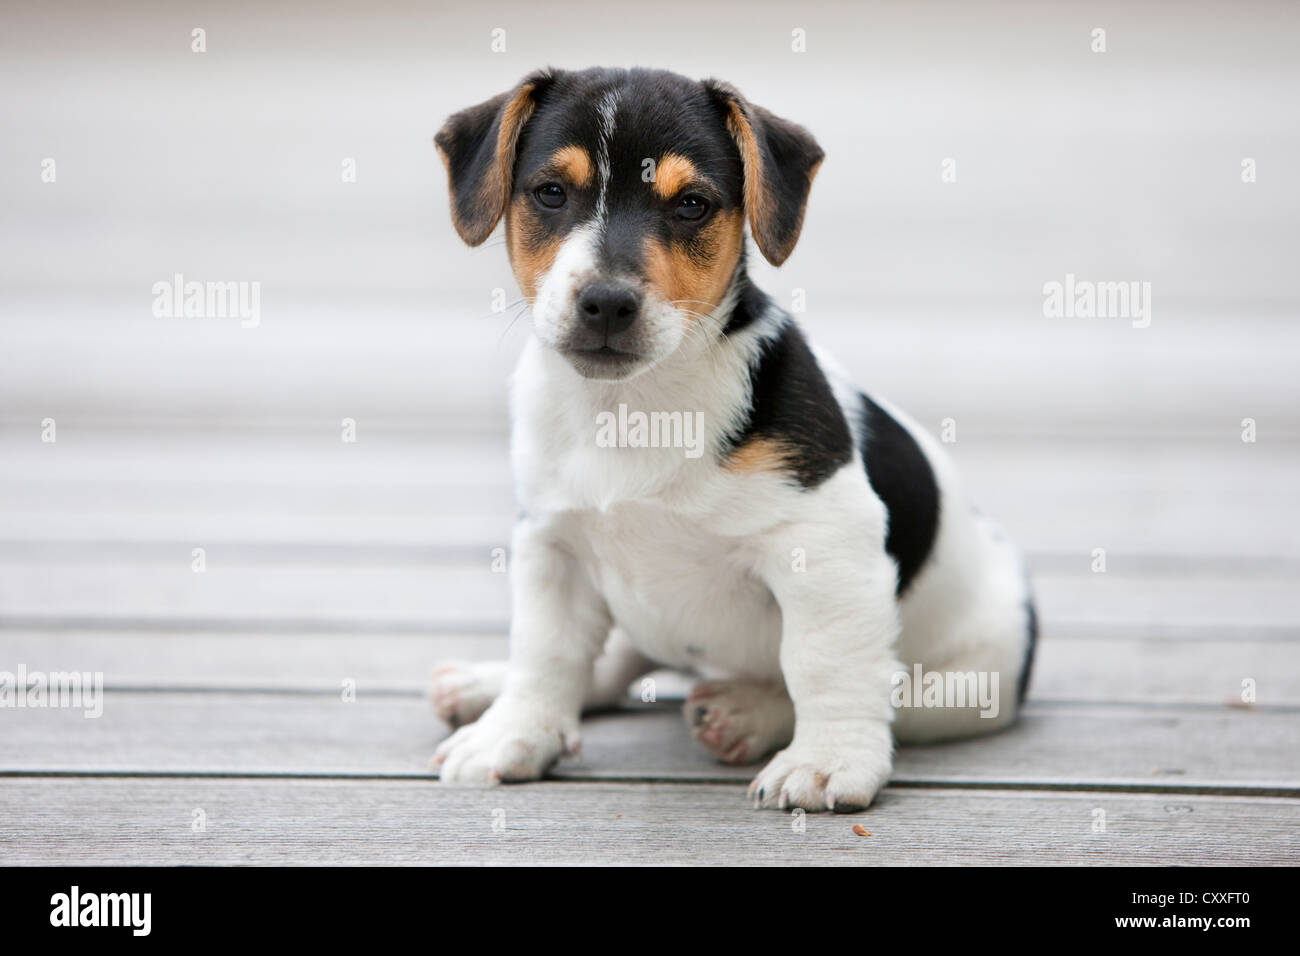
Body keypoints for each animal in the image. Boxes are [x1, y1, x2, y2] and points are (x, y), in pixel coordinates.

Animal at [426, 65, 1034, 816]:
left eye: (692, 204)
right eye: (550, 193)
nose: (607, 302)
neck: (634, 408)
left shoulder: (825, 545)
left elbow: (824, 662)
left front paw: (827, 762)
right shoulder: (553, 543)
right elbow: (547, 650)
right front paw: (513, 733)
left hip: (978, 675)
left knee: (894, 688)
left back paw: (748, 713)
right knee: (616, 655)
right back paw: (484, 684)